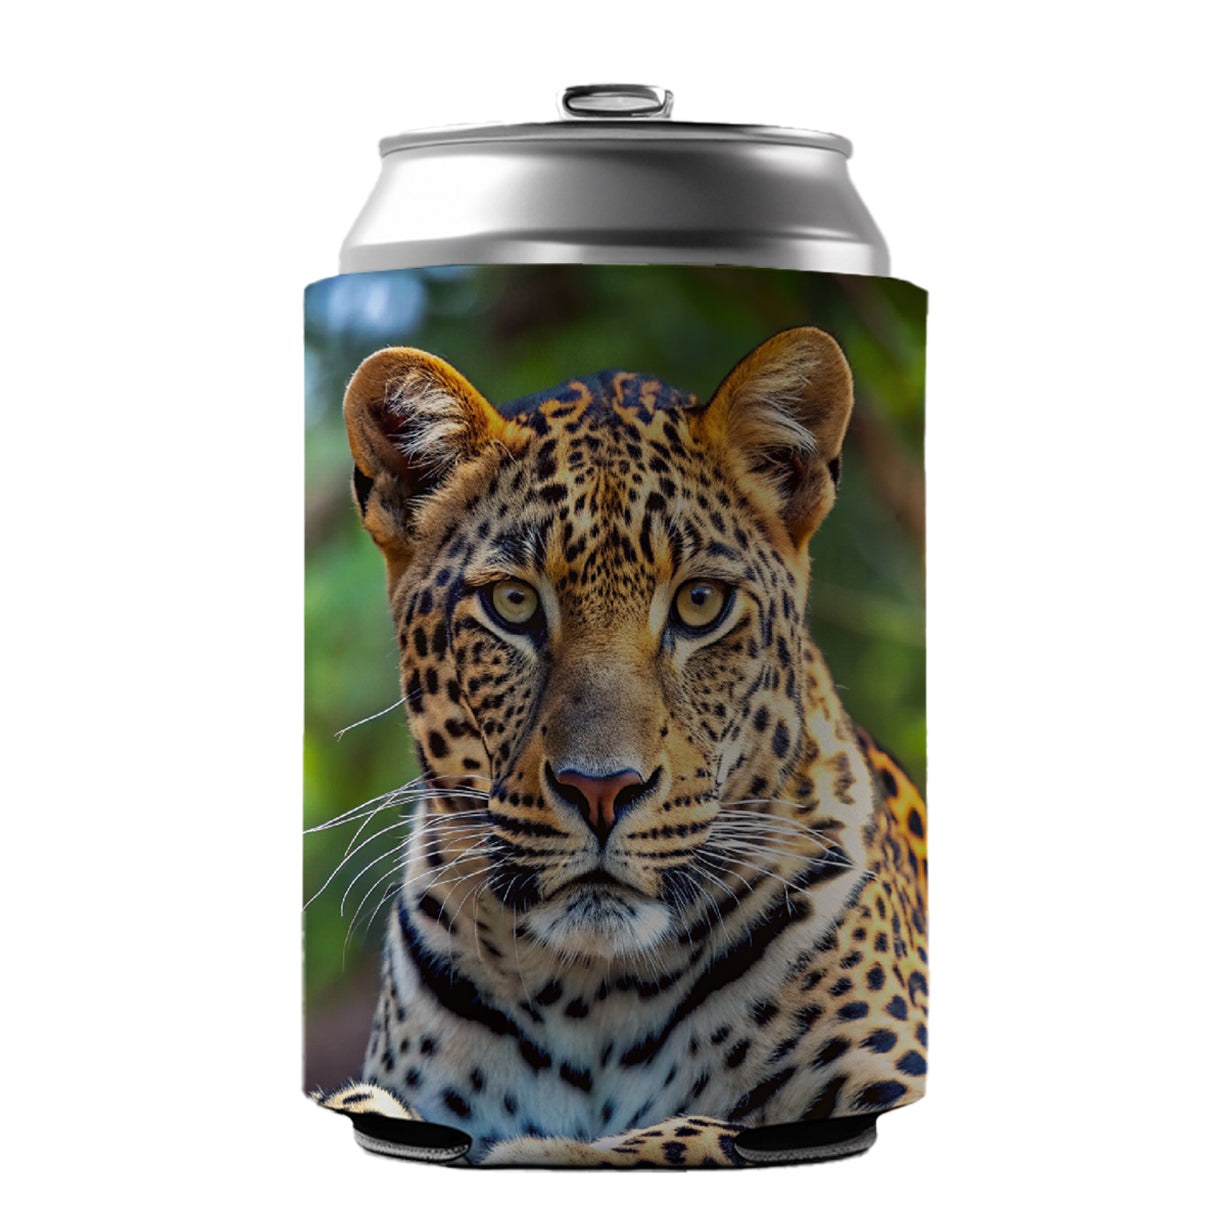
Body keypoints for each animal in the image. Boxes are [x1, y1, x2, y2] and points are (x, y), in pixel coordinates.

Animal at [313, 327, 928, 1167]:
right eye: (513, 602)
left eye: (701, 603)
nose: (601, 790)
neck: (587, 996)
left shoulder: (894, 1069)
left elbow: (697, 1131)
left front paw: (550, 1150)